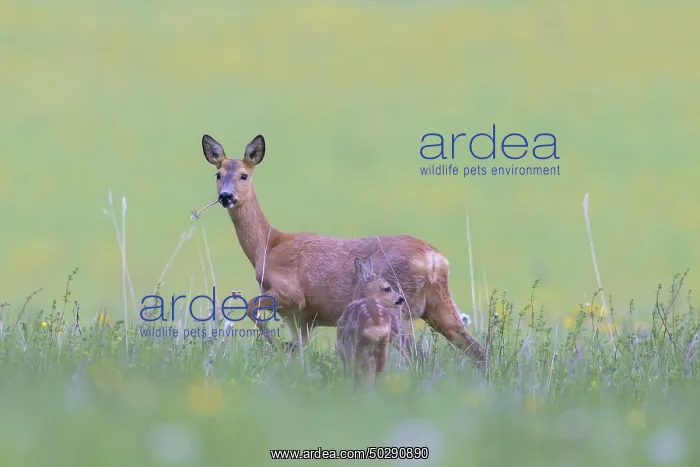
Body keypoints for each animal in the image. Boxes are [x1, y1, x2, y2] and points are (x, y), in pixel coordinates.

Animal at [199, 133, 486, 371]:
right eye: (218, 174)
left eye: (243, 175)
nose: (226, 196)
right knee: (478, 350)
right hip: (439, 305)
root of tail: (435, 259)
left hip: (396, 306)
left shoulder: (292, 294)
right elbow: (300, 350)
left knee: (418, 356)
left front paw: (279, 347)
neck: (268, 246)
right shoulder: (301, 318)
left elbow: (249, 307)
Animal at [337, 257, 405, 391]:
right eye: (387, 288)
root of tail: (376, 326)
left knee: (357, 372)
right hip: (383, 348)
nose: (401, 299)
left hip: (356, 346)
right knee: (375, 372)